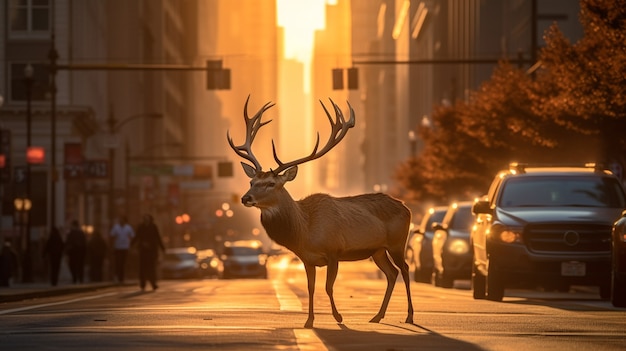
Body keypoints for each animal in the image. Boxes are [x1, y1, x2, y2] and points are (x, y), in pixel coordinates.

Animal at [227, 95, 412, 328]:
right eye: (251, 182)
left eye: (271, 183)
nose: (246, 198)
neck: (305, 230)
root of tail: (406, 207)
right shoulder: (307, 258)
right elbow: (311, 287)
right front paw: (309, 321)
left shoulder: (334, 251)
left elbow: (328, 287)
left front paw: (338, 317)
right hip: (378, 250)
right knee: (392, 273)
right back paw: (377, 316)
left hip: (397, 242)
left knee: (405, 269)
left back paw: (409, 316)